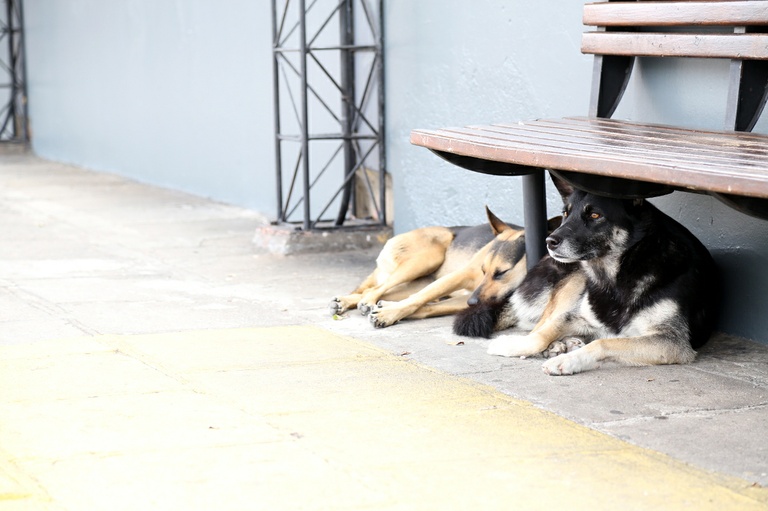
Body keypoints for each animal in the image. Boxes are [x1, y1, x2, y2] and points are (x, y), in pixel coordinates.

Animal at [328, 207, 560, 328]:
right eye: (484, 270)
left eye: (502, 273)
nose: (472, 302)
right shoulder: (461, 276)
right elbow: (419, 299)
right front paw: (389, 314)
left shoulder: (468, 296)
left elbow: (428, 307)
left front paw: (389, 311)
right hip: (426, 260)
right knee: (375, 289)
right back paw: (365, 302)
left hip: (419, 279)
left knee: (377, 290)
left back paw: (353, 302)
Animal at [450, 175, 720, 376]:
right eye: (565, 213)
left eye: (595, 215)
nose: (549, 241)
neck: (620, 274)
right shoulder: (578, 315)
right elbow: (542, 332)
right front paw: (516, 345)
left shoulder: (670, 341)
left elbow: (603, 342)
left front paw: (568, 361)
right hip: (574, 279)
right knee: (540, 322)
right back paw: (560, 344)